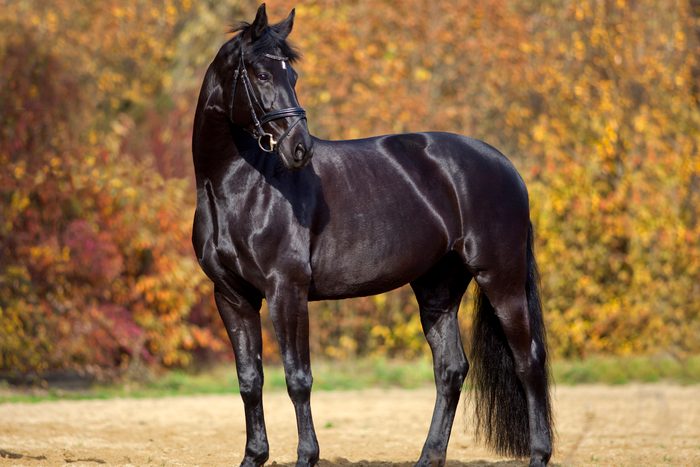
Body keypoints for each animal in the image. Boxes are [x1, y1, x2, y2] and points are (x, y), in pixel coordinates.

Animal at [192, 4, 553, 466]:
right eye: (260, 73)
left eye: (293, 76)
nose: (300, 148)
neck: (240, 186)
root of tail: (507, 167)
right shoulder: (232, 296)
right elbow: (249, 379)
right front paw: (254, 456)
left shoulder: (286, 290)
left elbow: (297, 378)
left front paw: (306, 456)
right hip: (438, 287)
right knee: (451, 369)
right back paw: (428, 456)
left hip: (501, 278)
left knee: (528, 360)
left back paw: (538, 454)